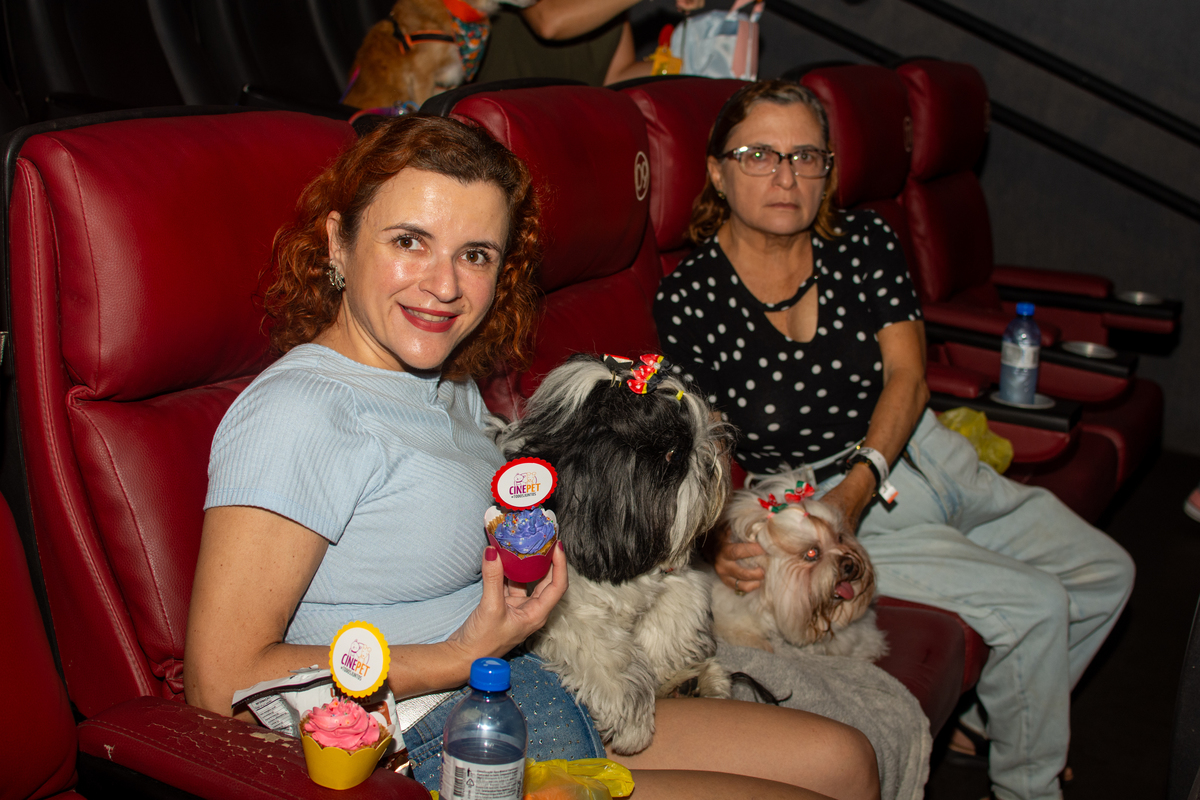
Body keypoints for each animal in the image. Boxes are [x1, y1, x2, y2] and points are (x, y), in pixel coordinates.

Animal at [492, 353, 735, 755]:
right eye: (672, 454)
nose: (709, 458)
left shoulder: (667, 578)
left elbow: (676, 613)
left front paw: (680, 675)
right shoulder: (561, 610)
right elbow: (611, 656)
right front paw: (633, 722)